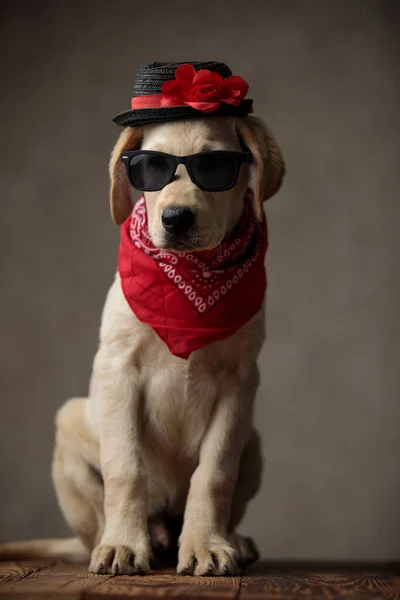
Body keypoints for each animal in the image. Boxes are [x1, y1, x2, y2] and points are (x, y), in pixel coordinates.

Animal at [0, 104, 284, 576]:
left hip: (255, 443)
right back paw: (116, 542)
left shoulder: (239, 381)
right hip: (70, 422)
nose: (176, 218)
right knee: (99, 523)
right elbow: (125, 468)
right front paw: (123, 545)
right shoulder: (119, 370)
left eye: (214, 166)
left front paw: (206, 545)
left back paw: (228, 540)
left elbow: (214, 472)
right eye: (152, 167)